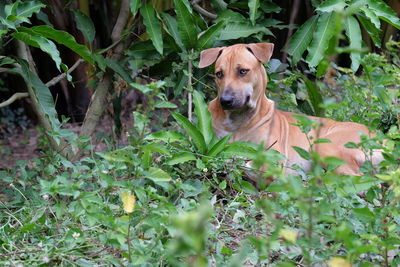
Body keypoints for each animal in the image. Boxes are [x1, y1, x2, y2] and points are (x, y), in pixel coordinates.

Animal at [198, 43, 382, 176]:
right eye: (219, 74)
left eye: (243, 71)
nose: (225, 101)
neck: (238, 121)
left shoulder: (274, 157)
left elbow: (249, 160)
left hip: (327, 148)